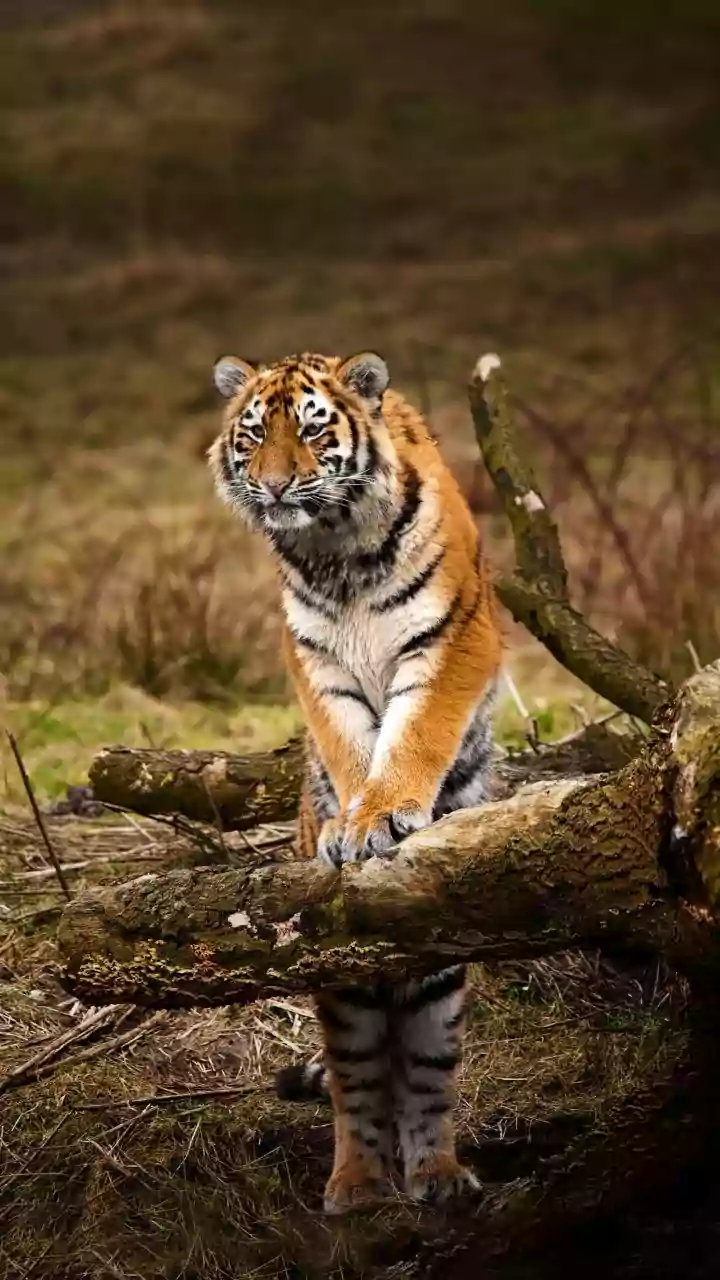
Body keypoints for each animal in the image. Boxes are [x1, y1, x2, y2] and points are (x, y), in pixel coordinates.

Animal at [209, 350, 501, 1213]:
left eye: (311, 430)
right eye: (252, 436)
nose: (275, 488)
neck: (333, 549)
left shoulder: (453, 635)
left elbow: (418, 730)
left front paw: (387, 813)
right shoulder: (316, 656)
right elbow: (348, 745)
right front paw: (350, 822)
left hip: (440, 984)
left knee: (428, 1083)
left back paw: (437, 1176)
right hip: (341, 989)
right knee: (358, 1085)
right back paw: (359, 1186)